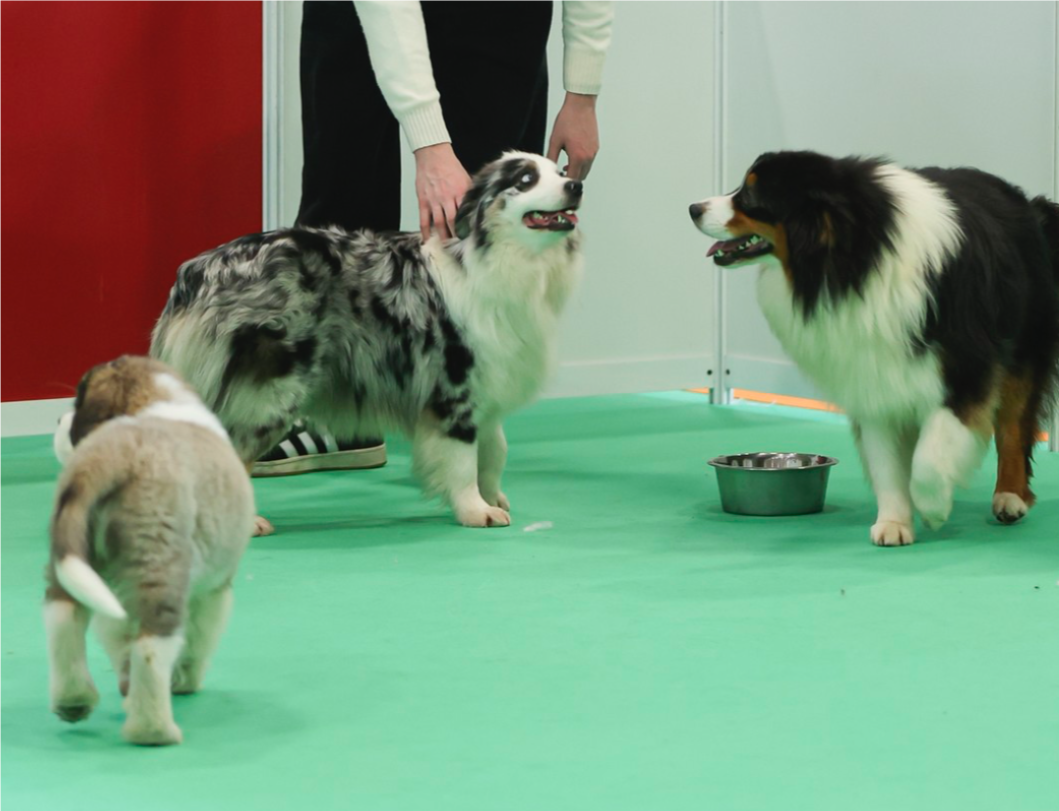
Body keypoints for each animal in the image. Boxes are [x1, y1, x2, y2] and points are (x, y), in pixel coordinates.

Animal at [46, 356, 255, 744]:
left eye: (78, 403)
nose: (57, 421)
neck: (151, 401)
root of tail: (115, 454)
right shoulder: (214, 590)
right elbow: (198, 637)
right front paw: (185, 679)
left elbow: (117, 639)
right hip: (161, 567)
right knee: (151, 648)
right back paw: (153, 729)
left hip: (72, 548)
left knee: (63, 616)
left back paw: (73, 699)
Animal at [151, 151, 584, 533]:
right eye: (525, 180)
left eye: (561, 171)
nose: (576, 185)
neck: (493, 260)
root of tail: (195, 273)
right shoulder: (454, 384)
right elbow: (463, 458)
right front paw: (475, 510)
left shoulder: (489, 383)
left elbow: (495, 451)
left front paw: (493, 497)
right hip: (267, 393)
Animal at [690, 150, 1059, 545]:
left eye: (750, 196)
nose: (693, 208)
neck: (856, 262)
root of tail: (1028, 202)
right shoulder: (871, 369)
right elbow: (885, 458)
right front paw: (895, 522)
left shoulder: (966, 368)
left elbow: (932, 454)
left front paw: (932, 507)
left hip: (1024, 345)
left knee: (1014, 425)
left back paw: (1010, 497)